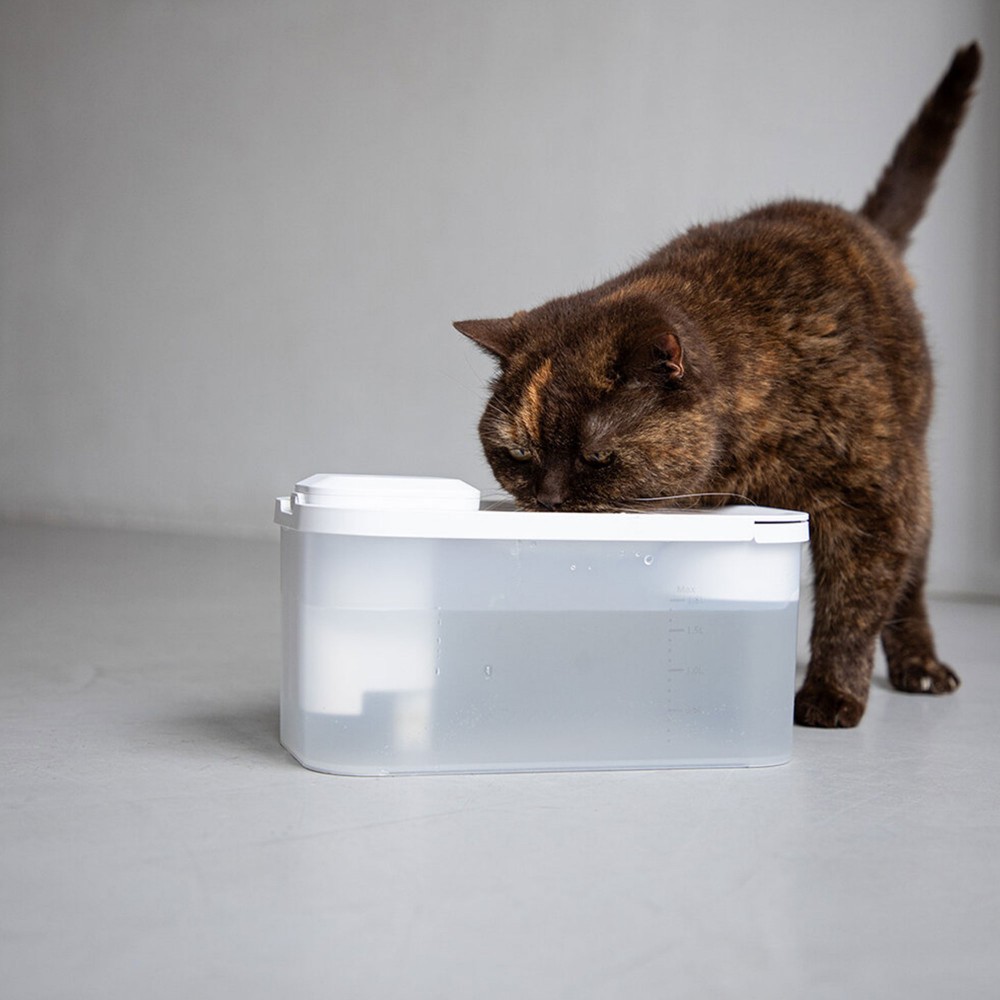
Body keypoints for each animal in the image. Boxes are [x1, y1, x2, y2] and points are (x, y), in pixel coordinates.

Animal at [456, 43, 984, 728]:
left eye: (597, 457)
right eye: (518, 454)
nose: (546, 499)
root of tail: (861, 226)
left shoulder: (871, 501)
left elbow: (852, 607)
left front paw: (830, 696)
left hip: (914, 480)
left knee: (912, 579)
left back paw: (920, 668)